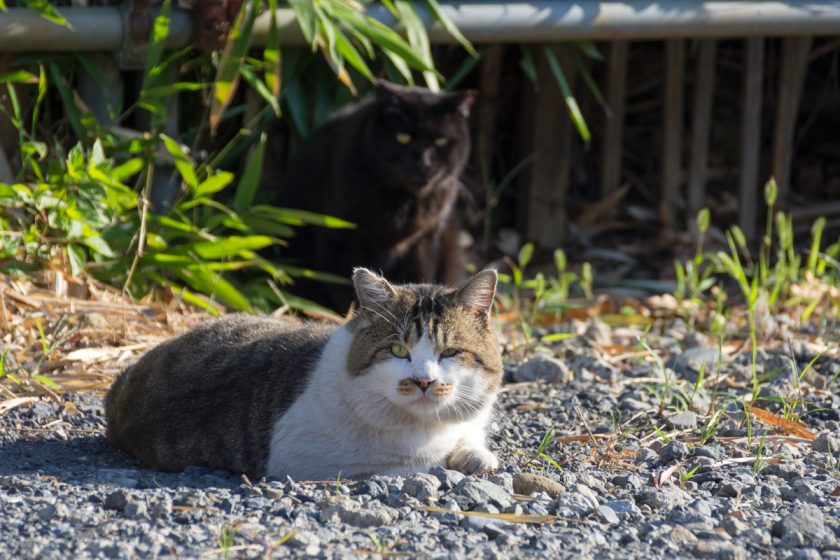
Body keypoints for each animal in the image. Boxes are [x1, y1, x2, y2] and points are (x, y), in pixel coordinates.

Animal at [101, 270, 502, 480]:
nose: (424, 381)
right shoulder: (310, 458)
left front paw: (475, 454)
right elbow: (418, 462)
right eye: (398, 351)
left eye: (450, 353)